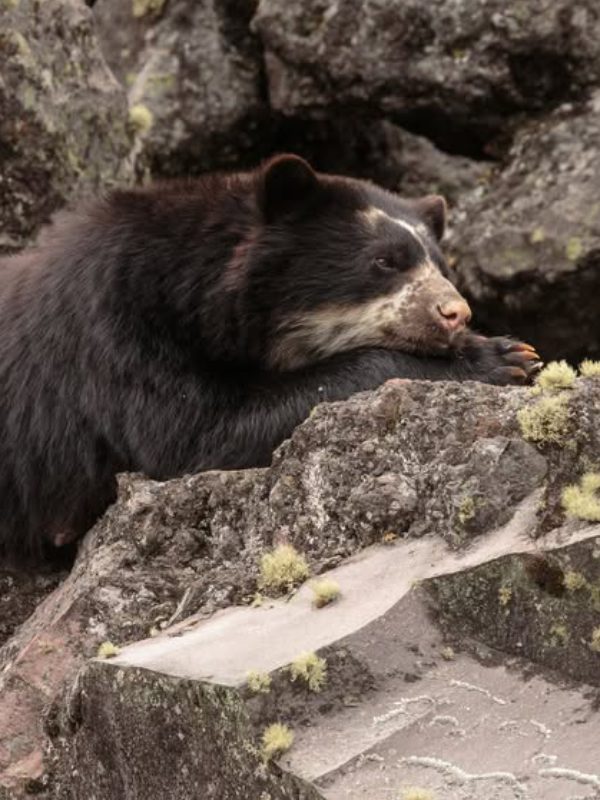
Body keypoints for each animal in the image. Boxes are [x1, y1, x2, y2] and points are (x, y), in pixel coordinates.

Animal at [0, 153, 544, 560]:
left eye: (441, 264)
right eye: (385, 260)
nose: (455, 313)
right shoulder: (118, 326)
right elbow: (191, 436)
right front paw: (501, 356)